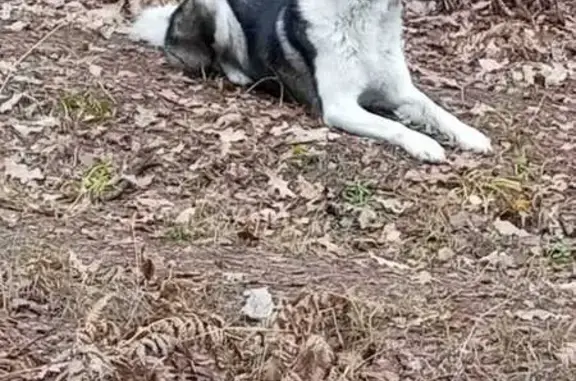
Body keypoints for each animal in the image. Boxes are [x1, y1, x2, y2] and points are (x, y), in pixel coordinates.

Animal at [129, 0, 490, 162]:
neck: (363, 17)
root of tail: (170, 21)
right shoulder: (339, 107)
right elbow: (394, 126)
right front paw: (424, 144)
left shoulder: (401, 91)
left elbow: (439, 111)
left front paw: (471, 136)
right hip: (215, 11)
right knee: (215, 59)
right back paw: (239, 74)